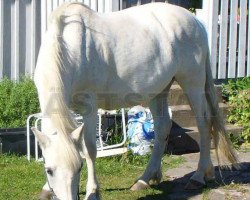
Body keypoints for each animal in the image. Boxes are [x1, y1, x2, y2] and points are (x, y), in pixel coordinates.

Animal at [31, 1, 238, 200]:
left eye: (79, 167)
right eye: (49, 170)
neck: (70, 48)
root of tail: (195, 21)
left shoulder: (89, 107)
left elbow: (90, 149)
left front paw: (93, 192)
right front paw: (46, 189)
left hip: (192, 84)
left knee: (204, 124)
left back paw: (199, 176)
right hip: (159, 91)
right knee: (163, 127)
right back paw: (146, 179)